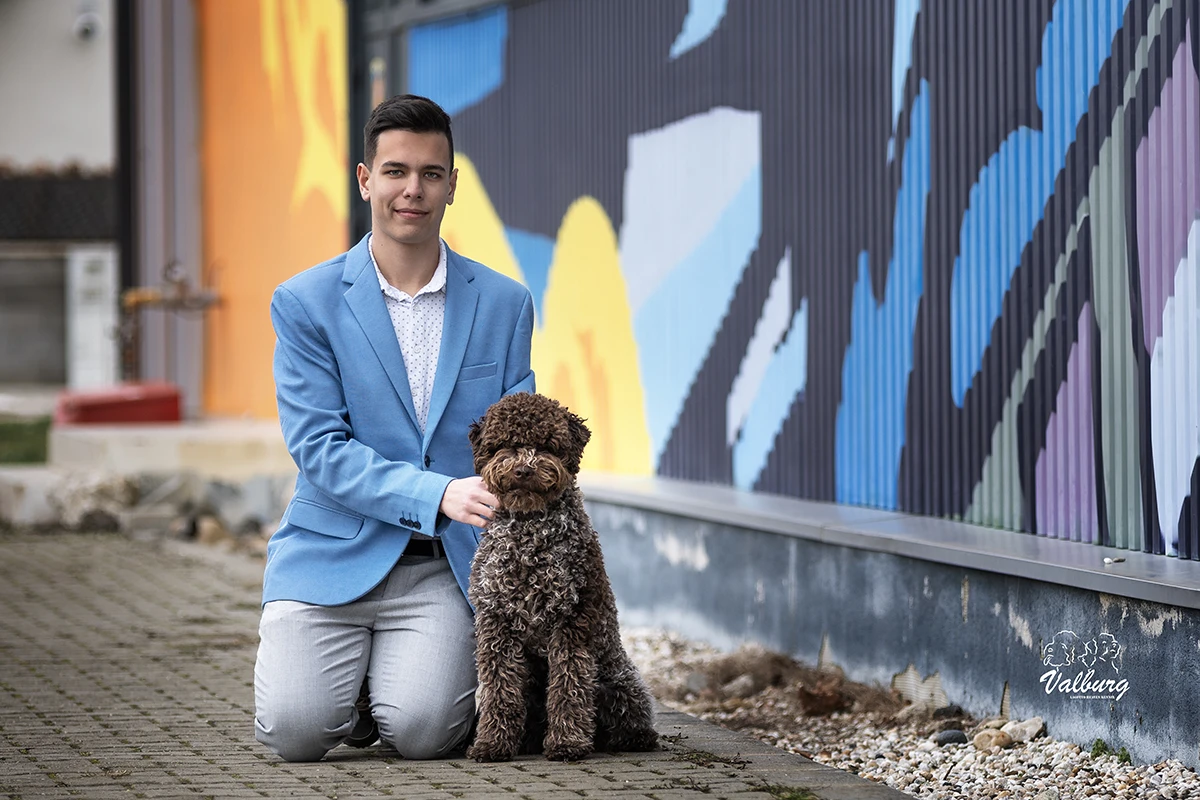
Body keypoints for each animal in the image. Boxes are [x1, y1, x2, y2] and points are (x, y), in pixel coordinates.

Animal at [465, 392, 659, 762]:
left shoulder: (572, 620)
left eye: (546, 445)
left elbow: (570, 686)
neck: (528, 535)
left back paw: (632, 737)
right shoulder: (496, 621)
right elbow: (499, 688)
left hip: (619, 678)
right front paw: (492, 743)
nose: (523, 469)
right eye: (507, 444)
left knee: (627, 716)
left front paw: (567, 743)